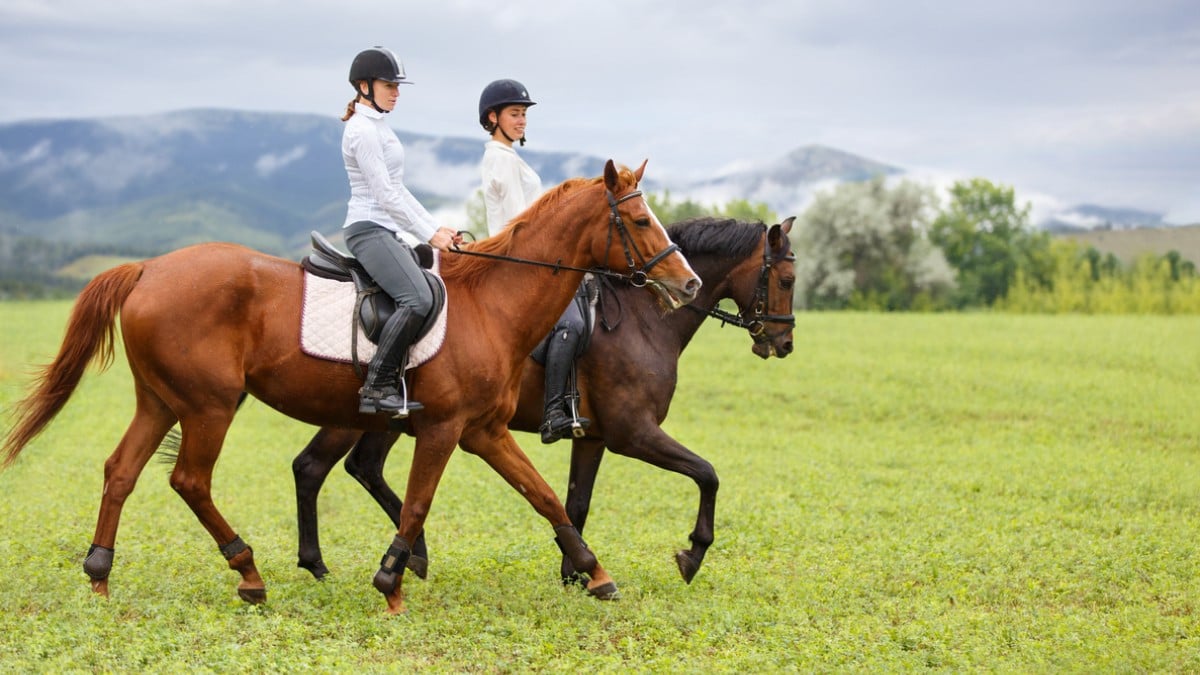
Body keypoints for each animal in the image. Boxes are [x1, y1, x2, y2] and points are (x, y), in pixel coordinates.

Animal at [0, 160, 701, 614]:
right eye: (640, 220)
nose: (688, 283)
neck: (491, 304)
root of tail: (148, 268)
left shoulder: (485, 430)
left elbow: (546, 497)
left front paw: (596, 573)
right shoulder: (444, 429)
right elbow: (419, 503)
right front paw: (391, 579)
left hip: (161, 401)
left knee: (121, 471)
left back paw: (100, 573)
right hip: (208, 405)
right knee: (190, 480)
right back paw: (248, 571)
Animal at [288, 215, 796, 586]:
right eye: (788, 279)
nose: (784, 342)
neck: (643, 320)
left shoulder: (592, 437)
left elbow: (576, 502)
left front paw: (575, 571)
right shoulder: (633, 433)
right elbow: (707, 474)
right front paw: (692, 554)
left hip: (392, 419)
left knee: (353, 466)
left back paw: (386, 557)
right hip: (363, 413)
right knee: (319, 466)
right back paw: (340, 560)